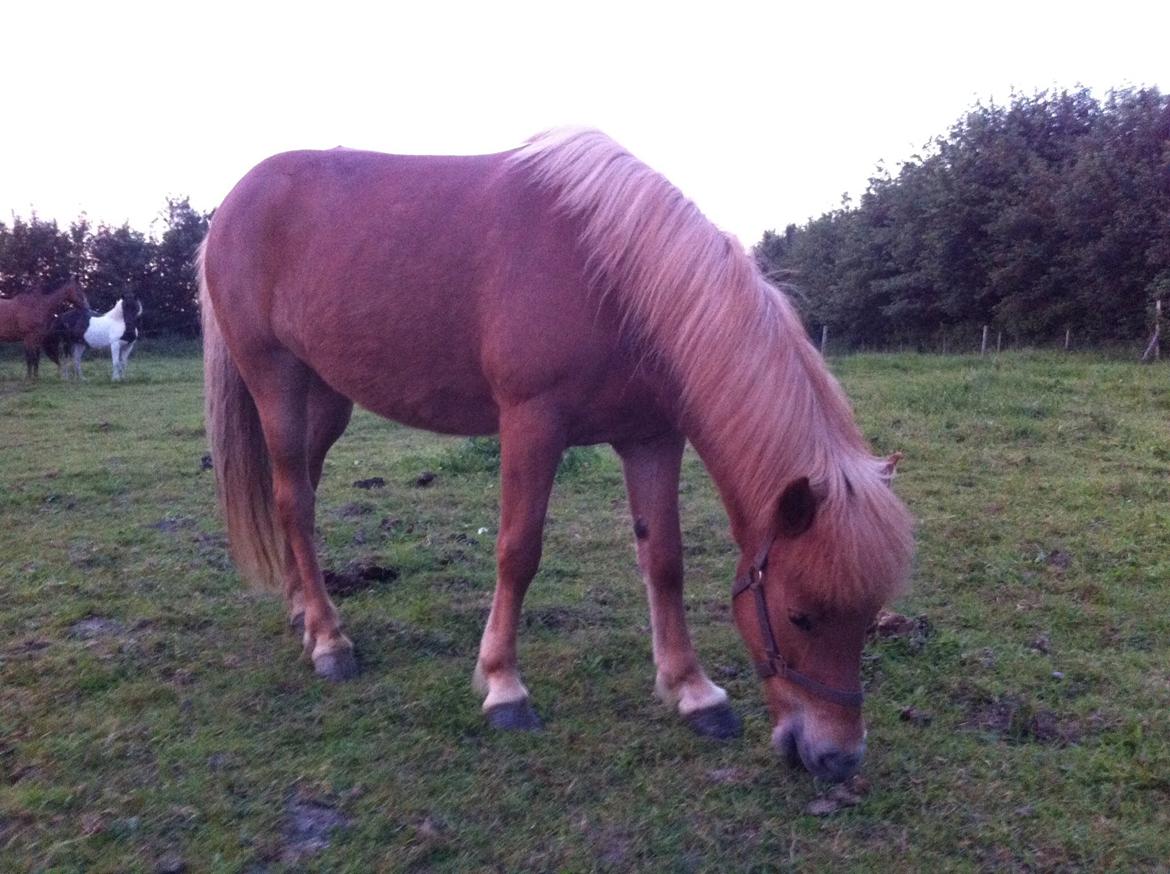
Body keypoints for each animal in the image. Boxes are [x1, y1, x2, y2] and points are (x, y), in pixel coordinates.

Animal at [198, 131, 912, 786]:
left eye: (865, 617)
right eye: (799, 616)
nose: (838, 758)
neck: (613, 276)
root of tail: (234, 203)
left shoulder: (652, 437)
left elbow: (665, 561)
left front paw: (693, 693)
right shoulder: (532, 424)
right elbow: (518, 552)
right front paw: (503, 688)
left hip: (325, 396)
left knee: (302, 490)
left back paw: (302, 610)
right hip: (276, 380)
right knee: (294, 499)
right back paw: (329, 641)